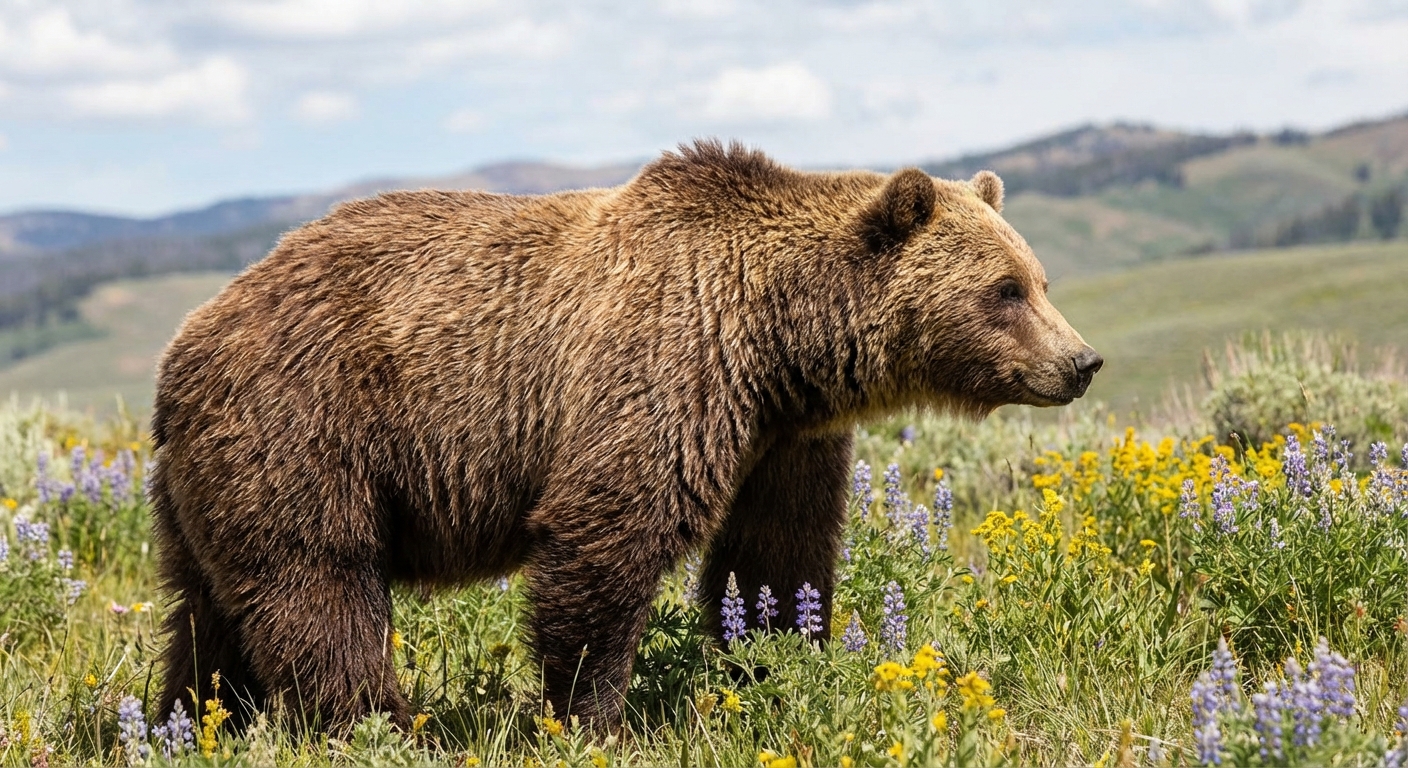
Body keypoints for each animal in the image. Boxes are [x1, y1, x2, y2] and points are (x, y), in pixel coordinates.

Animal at [149, 140, 1101, 733]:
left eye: (1040, 279)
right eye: (1005, 290)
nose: (1081, 361)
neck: (778, 341)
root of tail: (187, 343)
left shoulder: (784, 437)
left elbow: (776, 555)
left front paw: (781, 662)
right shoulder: (666, 369)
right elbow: (607, 539)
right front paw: (594, 716)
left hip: (207, 480)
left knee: (205, 616)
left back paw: (189, 721)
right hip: (306, 428)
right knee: (320, 587)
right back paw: (385, 724)